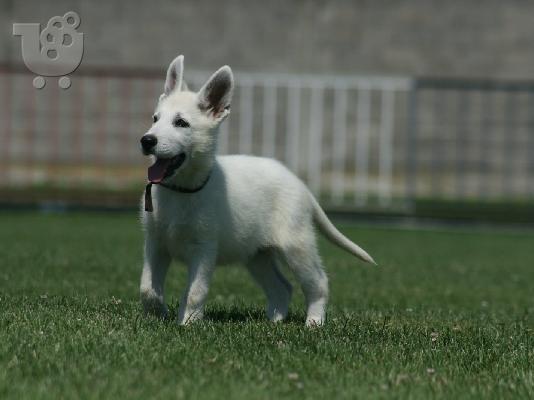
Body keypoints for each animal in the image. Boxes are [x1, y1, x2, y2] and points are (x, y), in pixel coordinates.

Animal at [140, 54, 378, 326]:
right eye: (155, 119)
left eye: (181, 123)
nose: (147, 140)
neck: (180, 190)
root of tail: (299, 184)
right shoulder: (155, 243)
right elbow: (147, 288)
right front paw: (157, 313)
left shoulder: (204, 249)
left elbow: (195, 292)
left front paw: (188, 322)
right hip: (257, 254)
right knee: (282, 287)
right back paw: (274, 321)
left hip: (296, 245)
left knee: (318, 283)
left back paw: (314, 322)